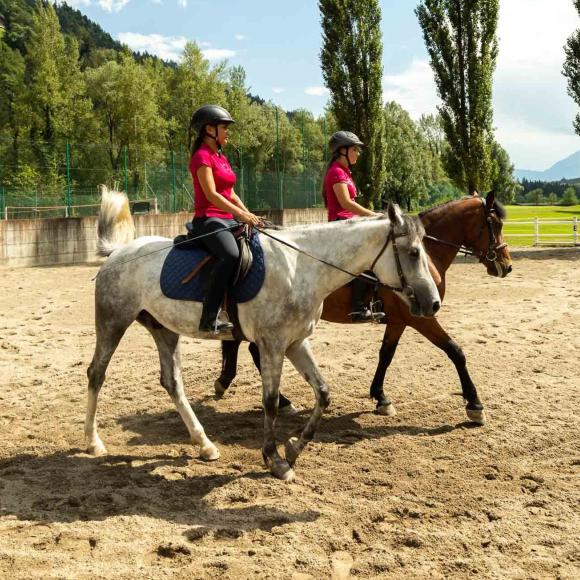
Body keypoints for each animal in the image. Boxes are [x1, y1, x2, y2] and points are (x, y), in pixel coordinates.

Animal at [86, 190, 440, 480]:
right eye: (412, 252)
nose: (433, 302)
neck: (302, 267)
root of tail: (118, 252)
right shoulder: (273, 344)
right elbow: (269, 401)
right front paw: (275, 459)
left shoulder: (296, 342)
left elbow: (323, 393)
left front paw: (294, 448)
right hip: (113, 322)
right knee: (96, 374)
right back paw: (93, 442)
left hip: (165, 330)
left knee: (172, 383)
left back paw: (205, 444)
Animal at [215, 193, 510, 424]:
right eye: (494, 224)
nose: (506, 266)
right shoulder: (420, 318)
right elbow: (455, 351)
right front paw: (474, 405)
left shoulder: (399, 320)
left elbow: (386, 355)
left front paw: (381, 397)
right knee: (253, 350)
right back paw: (270, 397)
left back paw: (234, 385)